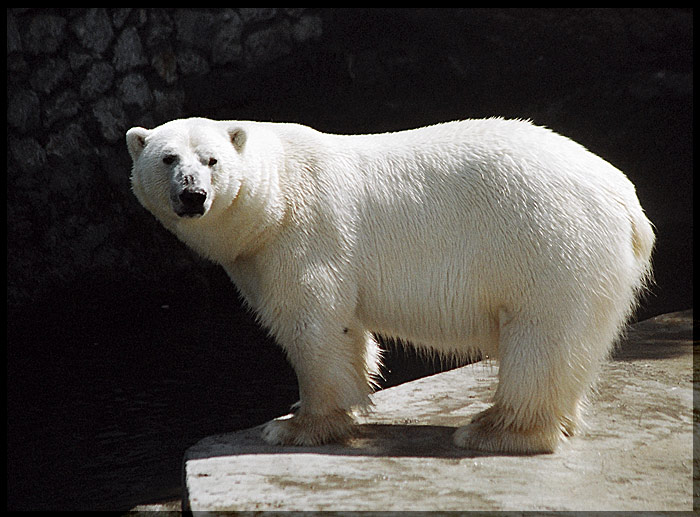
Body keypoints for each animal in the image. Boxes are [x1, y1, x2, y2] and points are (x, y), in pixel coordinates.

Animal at [127, 117, 656, 452]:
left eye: (211, 160)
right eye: (168, 158)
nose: (192, 195)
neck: (276, 198)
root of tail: (629, 205)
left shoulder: (306, 235)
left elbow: (313, 323)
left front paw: (295, 425)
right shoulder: (256, 256)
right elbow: (348, 332)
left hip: (548, 243)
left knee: (540, 337)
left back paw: (496, 430)